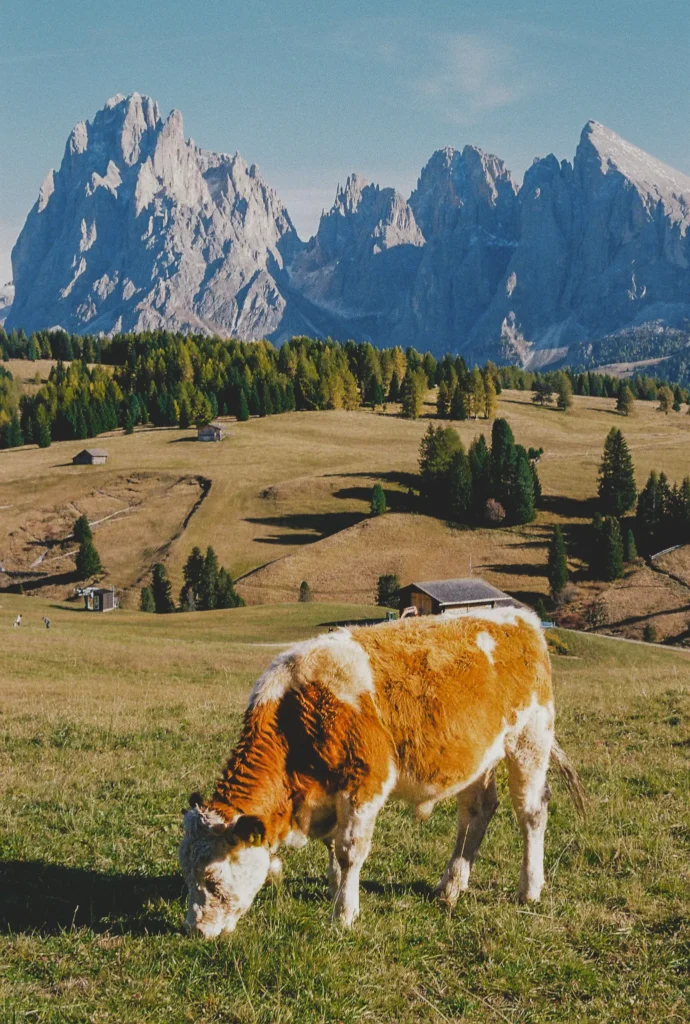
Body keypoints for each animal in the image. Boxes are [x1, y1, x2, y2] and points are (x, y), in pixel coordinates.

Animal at [179, 607, 585, 938]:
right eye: (185, 871)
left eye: (213, 879)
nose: (195, 930)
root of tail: (520, 618)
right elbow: (333, 847)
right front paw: (336, 889)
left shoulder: (364, 784)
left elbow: (349, 850)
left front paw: (344, 913)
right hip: (478, 758)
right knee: (477, 811)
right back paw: (451, 886)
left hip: (529, 739)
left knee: (531, 812)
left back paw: (529, 889)